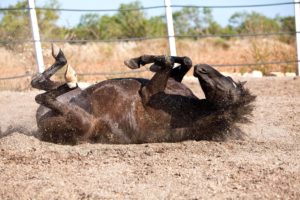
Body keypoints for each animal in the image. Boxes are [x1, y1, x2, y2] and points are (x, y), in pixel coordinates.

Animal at [31, 45, 255, 145]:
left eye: (229, 87)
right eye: (229, 78)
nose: (203, 68)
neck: (193, 111)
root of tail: (40, 127)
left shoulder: (148, 93)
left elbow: (167, 62)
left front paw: (140, 61)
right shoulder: (172, 81)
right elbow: (181, 60)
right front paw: (142, 61)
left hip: (81, 121)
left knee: (43, 95)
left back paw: (69, 74)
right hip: (75, 97)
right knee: (38, 83)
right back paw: (60, 60)